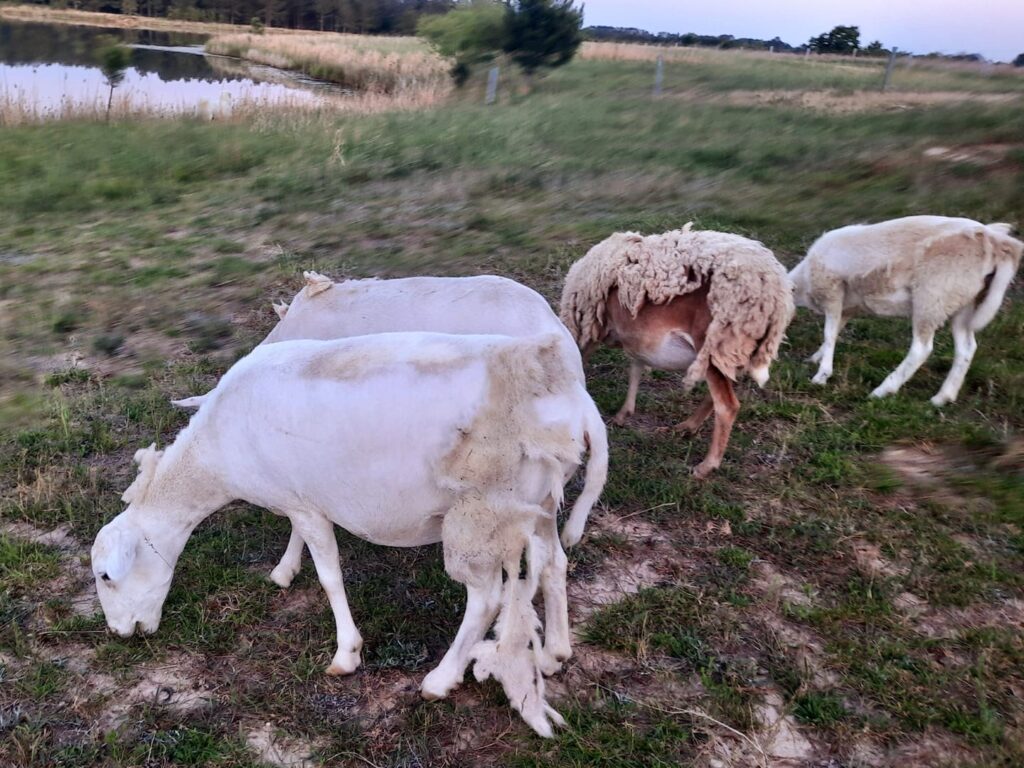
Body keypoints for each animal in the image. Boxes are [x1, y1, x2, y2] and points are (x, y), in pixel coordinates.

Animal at [92, 331, 602, 741]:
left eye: (105, 577)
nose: (119, 633)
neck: (213, 457)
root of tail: (567, 396)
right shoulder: (300, 496)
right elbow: (296, 537)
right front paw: (284, 570)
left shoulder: (305, 506)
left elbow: (330, 578)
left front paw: (346, 653)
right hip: (538, 504)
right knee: (554, 564)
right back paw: (555, 652)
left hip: (481, 511)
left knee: (486, 598)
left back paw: (441, 679)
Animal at [561, 222, 790, 479]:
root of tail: (772, 294)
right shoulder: (636, 337)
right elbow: (635, 368)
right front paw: (624, 413)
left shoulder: (594, 329)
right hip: (730, 352)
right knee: (720, 395)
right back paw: (687, 427)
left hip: (712, 342)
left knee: (727, 406)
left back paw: (705, 466)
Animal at [786, 215, 1019, 405]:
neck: (803, 282)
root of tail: (996, 242)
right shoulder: (847, 308)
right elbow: (834, 333)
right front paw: (816, 357)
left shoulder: (832, 290)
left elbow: (829, 333)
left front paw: (821, 375)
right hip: (962, 300)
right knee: (967, 348)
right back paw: (942, 398)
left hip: (932, 296)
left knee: (921, 349)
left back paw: (883, 390)